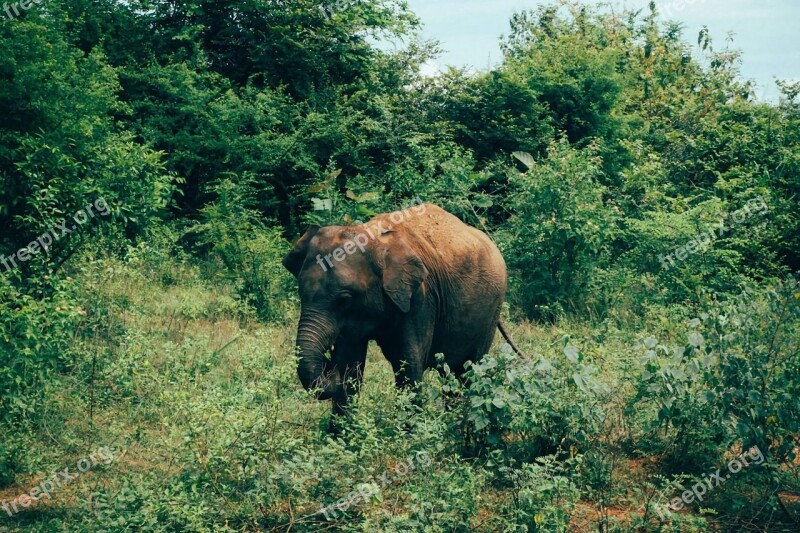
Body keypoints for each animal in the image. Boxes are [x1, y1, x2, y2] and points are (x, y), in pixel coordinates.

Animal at [282, 202, 520, 422]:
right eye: (301, 292)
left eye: (344, 299)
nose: (328, 363)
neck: (372, 237)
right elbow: (351, 362)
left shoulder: (420, 297)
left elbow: (408, 363)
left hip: (491, 310)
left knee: (466, 369)